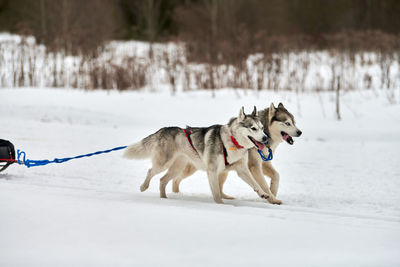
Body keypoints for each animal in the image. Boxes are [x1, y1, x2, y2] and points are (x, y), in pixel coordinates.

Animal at [123, 108, 270, 204]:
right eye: (253, 128)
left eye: (262, 128)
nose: (265, 138)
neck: (232, 141)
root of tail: (164, 129)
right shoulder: (212, 171)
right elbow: (216, 193)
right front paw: (221, 206)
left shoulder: (242, 170)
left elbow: (256, 183)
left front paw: (263, 193)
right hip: (163, 164)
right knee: (150, 171)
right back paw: (144, 187)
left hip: (177, 168)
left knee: (162, 180)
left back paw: (164, 199)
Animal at [172, 103, 300, 204]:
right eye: (287, 123)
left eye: (294, 122)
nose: (300, 132)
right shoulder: (254, 166)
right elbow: (263, 183)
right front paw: (272, 199)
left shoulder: (261, 163)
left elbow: (276, 176)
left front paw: (273, 191)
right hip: (193, 168)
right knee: (176, 179)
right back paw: (176, 194)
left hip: (222, 171)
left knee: (219, 188)